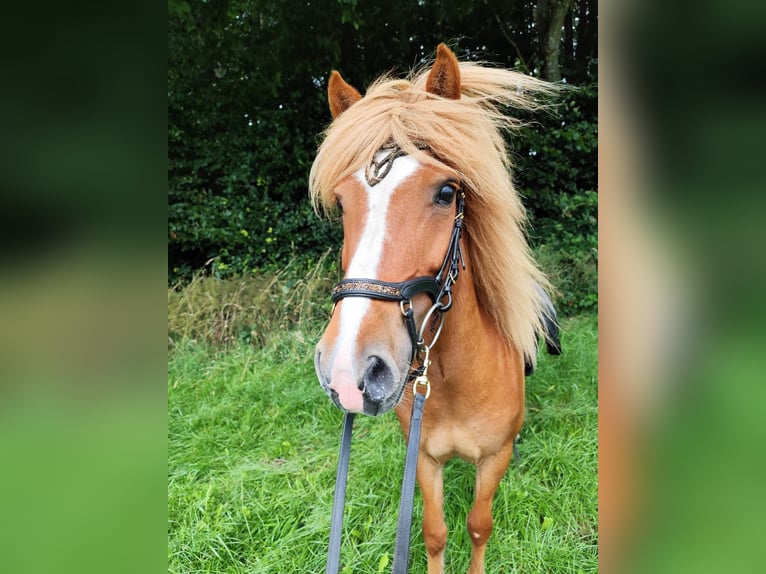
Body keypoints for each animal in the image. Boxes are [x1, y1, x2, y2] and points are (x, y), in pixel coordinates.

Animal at [311, 43, 560, 574]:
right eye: (341, 203)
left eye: (446, 192)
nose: (348, 369)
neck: (452, 378)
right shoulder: (423, 459)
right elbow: (434, 531)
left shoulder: (493, 460)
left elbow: (479, 525)